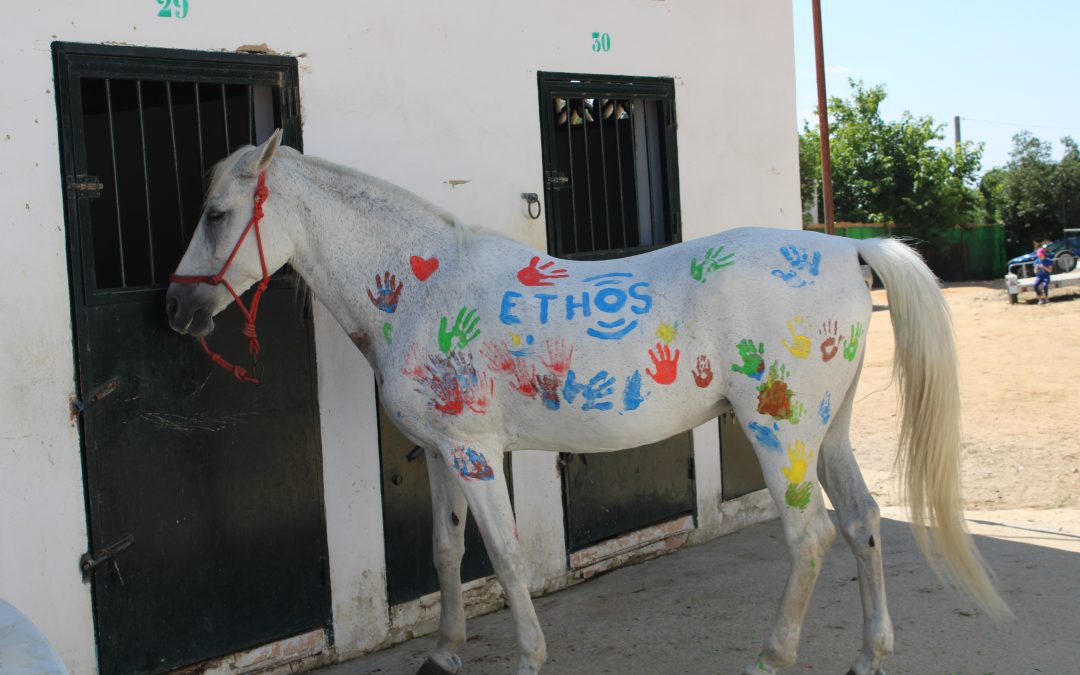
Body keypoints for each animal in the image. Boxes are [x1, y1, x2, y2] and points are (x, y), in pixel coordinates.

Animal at [164, 131, 1006, 673]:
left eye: (216, 214)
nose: (176, 309)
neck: (421, 288)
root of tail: (845, 248)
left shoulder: (475, 453)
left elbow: (505, 555)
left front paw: (528, 657)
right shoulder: (442, 452)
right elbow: (444, 552)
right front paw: (443, 652)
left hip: (781, 433)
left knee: (812, 537)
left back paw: (770, 657)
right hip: (826, 436)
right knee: (862, 522)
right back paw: (869, 654)